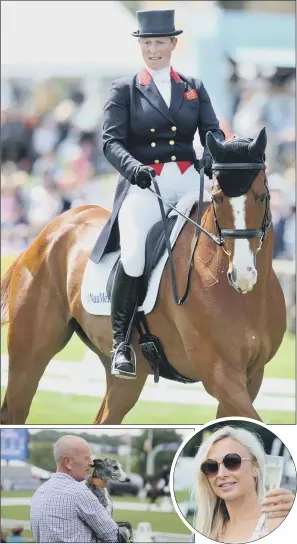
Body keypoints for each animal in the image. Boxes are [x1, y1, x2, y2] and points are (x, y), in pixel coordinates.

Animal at [1, 129, 286, 424]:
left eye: (262, 195)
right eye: (217, 197)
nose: (242, 274)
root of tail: (51, 229)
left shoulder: (252, 376)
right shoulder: (221, 374)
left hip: (126, 379)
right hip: (28, 358)